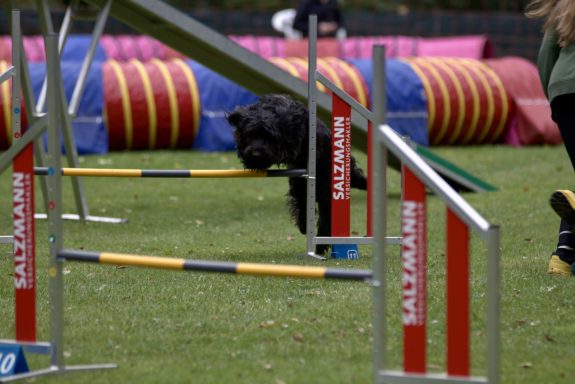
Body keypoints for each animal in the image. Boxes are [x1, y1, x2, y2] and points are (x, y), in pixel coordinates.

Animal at [226, 94, 368, 255]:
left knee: (325, 218)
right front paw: (249, 158)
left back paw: (319, 247)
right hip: (300, 183)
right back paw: (304, 226)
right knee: (303, 203)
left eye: (269, 136)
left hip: (325, 185)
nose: (256, 153)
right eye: (250, 134)